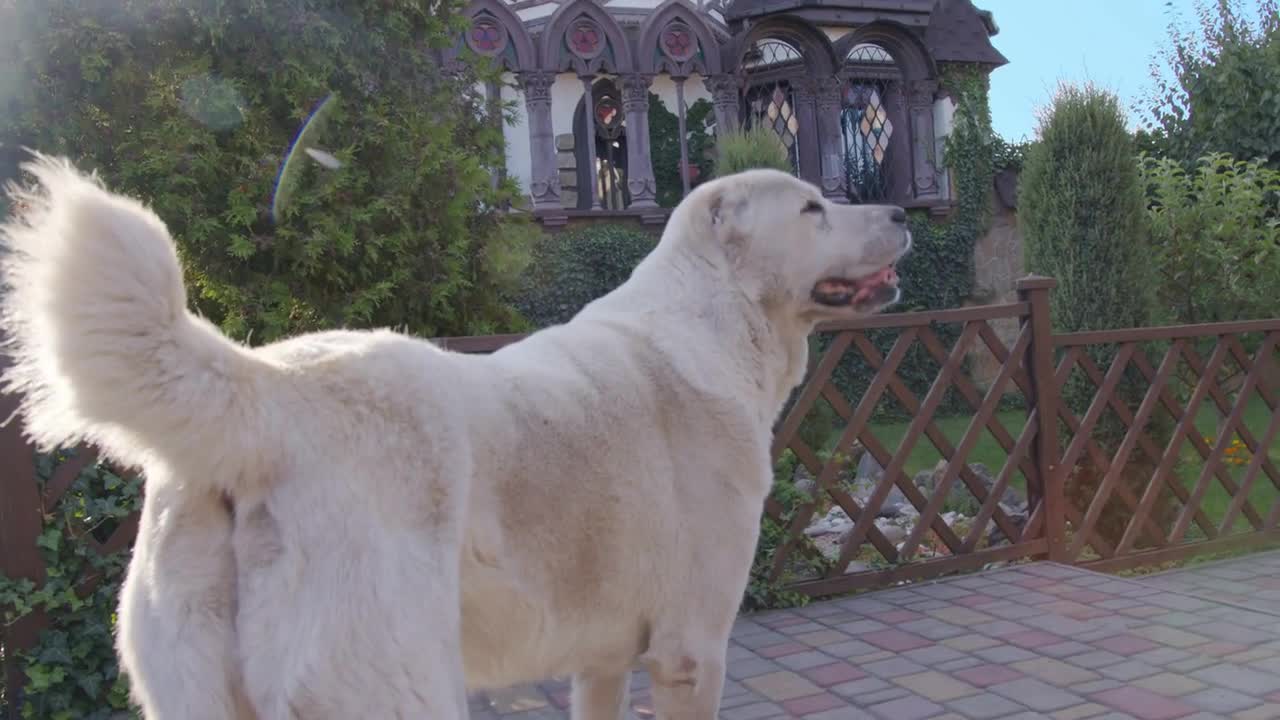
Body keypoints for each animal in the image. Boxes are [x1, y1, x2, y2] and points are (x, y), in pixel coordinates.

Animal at [0, 154, 911, 712]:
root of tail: (271, 395)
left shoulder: (602, 659)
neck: (717, 316)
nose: (902, 209)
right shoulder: (693, 649)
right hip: (401, 686)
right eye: (812, 208)